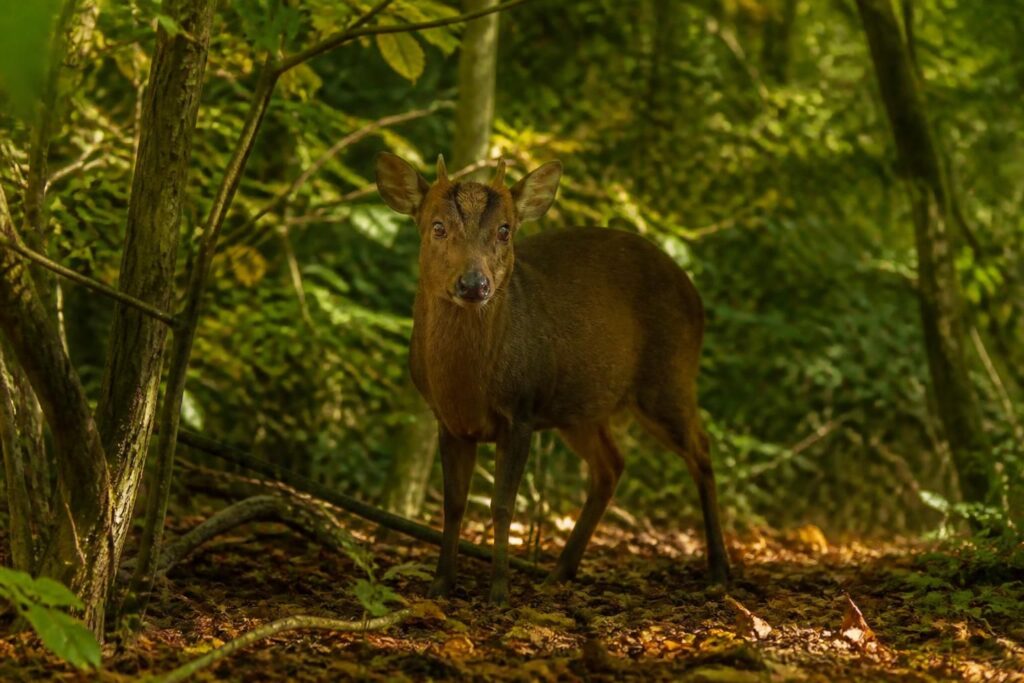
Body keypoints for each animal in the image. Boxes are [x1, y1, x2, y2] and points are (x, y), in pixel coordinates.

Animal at [375, 152, 729, 605]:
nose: (474, 284)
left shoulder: (521, 409)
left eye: (505, 230)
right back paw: (559, 572)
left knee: (700, 452)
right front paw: (440, 583)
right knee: (611, 465)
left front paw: (499, 591)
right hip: (581, 408)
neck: (467, 384)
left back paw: (719, 572)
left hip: (668, 376)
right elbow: (454, 504)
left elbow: (502, 505)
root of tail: (695, 294)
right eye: (437, 226)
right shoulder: (448, 420)